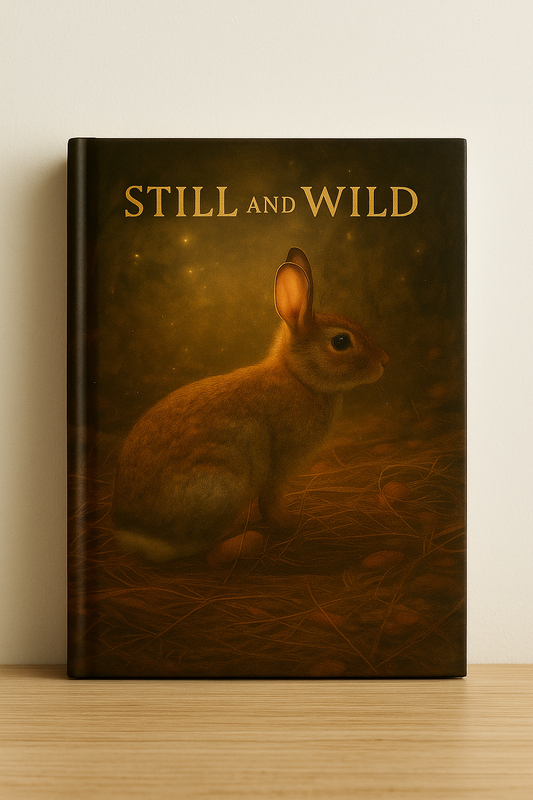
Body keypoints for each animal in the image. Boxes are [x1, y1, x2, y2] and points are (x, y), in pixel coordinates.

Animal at [112, 247, 389, 562]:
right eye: (341, 341)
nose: (384, 361)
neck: (298, 378)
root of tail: (134, 533)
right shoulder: (279, 466)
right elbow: (269, 500)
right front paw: (289, 523)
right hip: (224, 480)